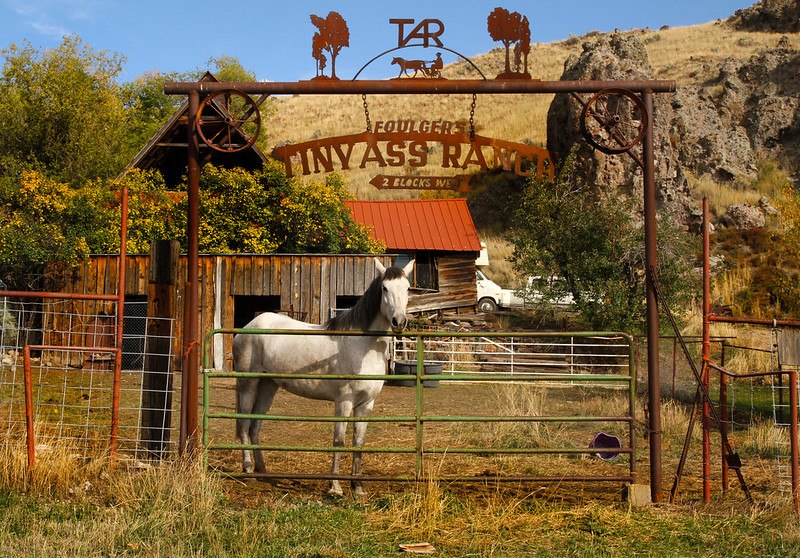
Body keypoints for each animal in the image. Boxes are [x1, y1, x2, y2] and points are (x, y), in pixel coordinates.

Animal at [231, 258, 416, 498]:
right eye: (384, 288)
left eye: (407, 288)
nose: (399, 322)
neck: (363, 345)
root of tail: (246, 328)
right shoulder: (344, 402)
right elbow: (339, 441)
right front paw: (335, 486)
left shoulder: (367, 403)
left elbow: (358, 442)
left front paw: (358, 487)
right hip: (248, 384)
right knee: (244, 424)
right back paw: (249, 472)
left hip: (268, 386)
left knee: (255, 426)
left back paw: (264, 472)